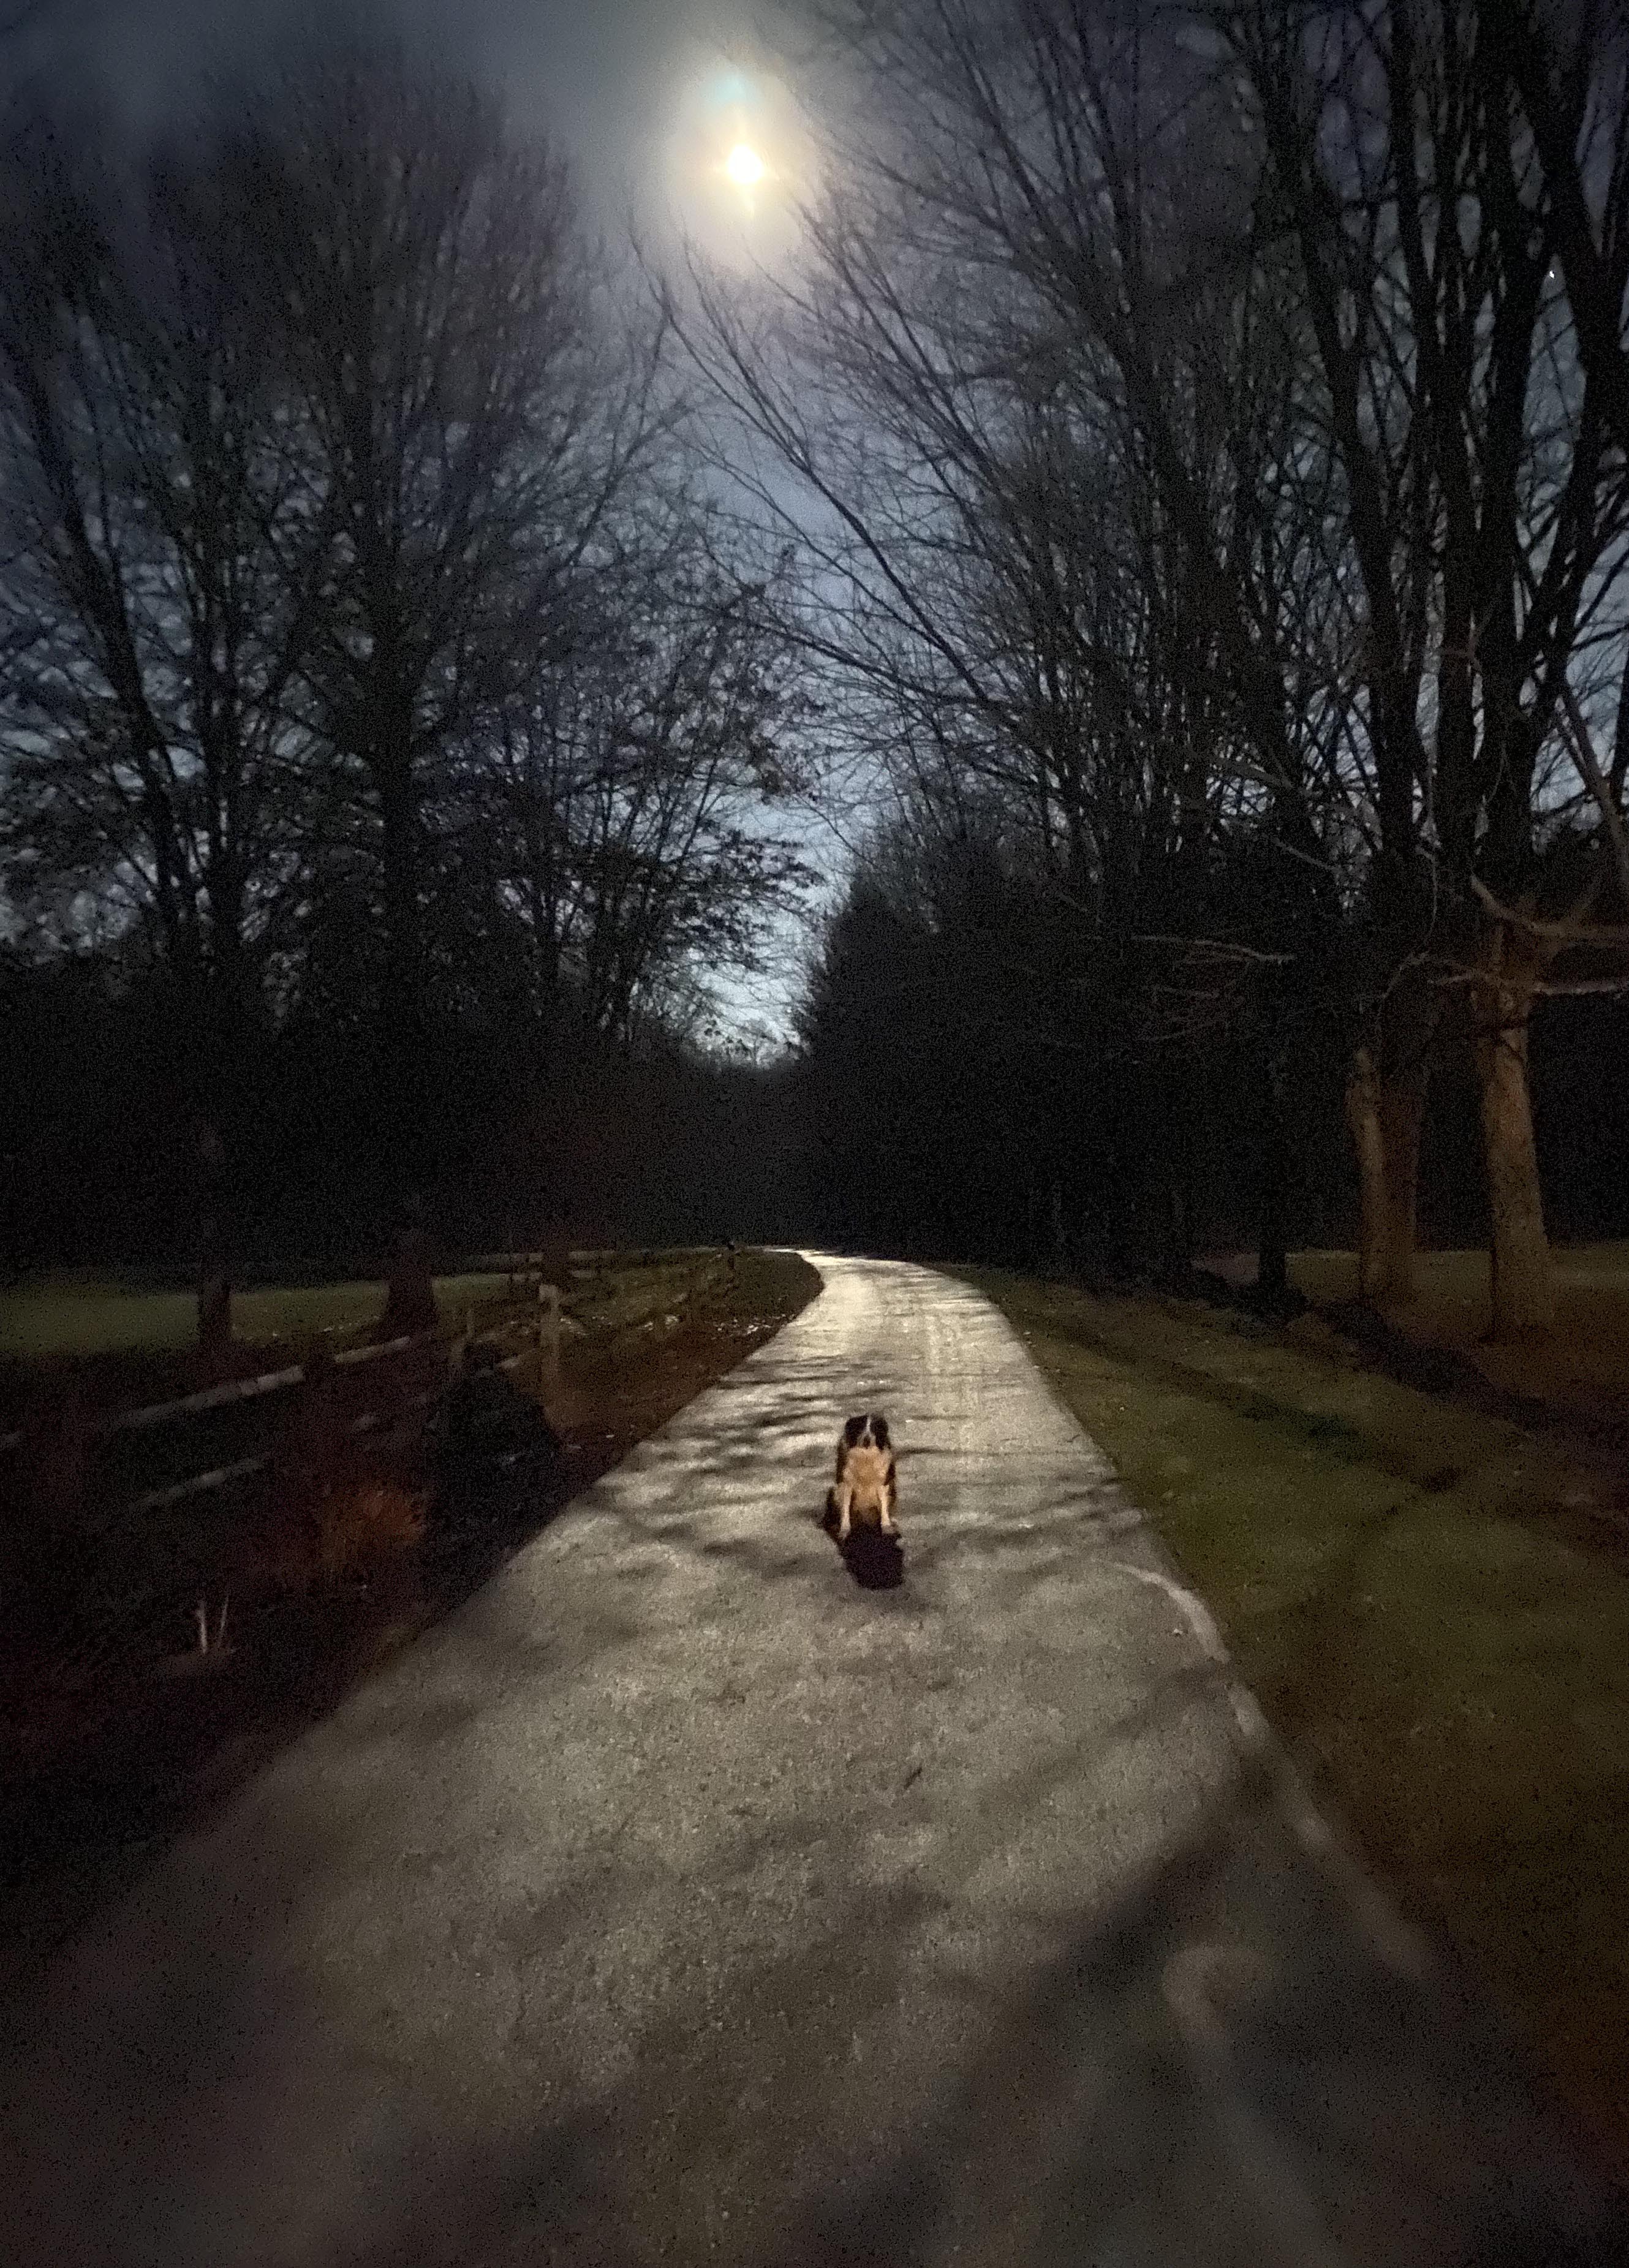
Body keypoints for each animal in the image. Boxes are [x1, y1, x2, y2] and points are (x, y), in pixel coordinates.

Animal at [834, 1406, 898, 1551]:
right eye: (861, 1428)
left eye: (875, 1428)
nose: (867, 1440)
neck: (866, 1456)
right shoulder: (846, 1483)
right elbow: (845, 1508)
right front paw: (845, 1531)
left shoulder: (883, 1483)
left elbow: (884, 1507)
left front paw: (886, 1527)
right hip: (833, 1492)